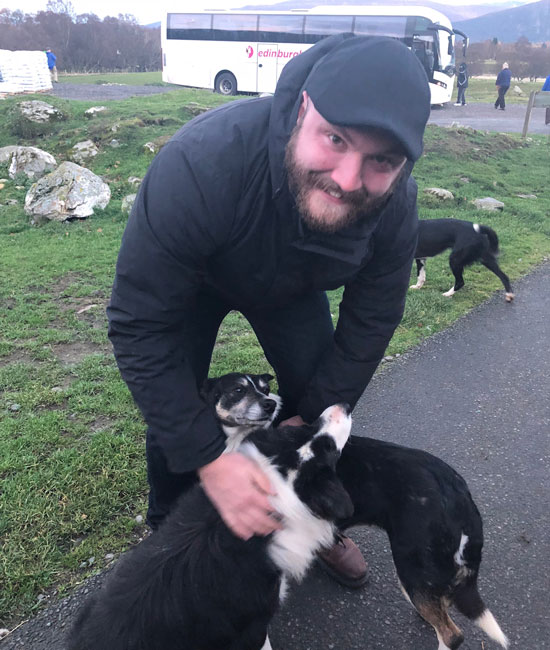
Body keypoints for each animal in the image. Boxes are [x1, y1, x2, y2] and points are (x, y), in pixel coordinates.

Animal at [209, 372, 512, 648]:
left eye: (264, 388)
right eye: (238, 390)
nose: (269, 404)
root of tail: (457, 489)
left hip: (412, 563)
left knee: (452, 634)